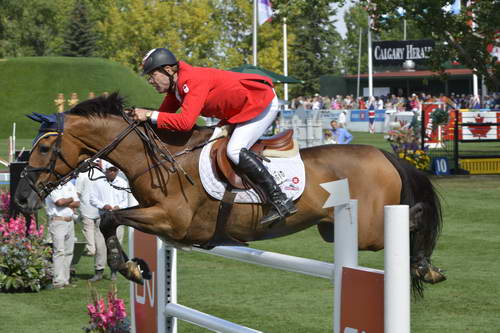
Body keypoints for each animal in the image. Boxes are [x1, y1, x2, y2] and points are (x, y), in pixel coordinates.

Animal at [14, 92, 446, 294]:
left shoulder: (174, 222)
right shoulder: (155, 214)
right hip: (334, 229)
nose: (21, 198)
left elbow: (108, 216)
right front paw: (133, 267)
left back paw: (425, 265)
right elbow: (108, 217)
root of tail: (382, 153)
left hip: (371, 229)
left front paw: (128, 266)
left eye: (46, 148)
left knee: (414, 217)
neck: (160, 158)